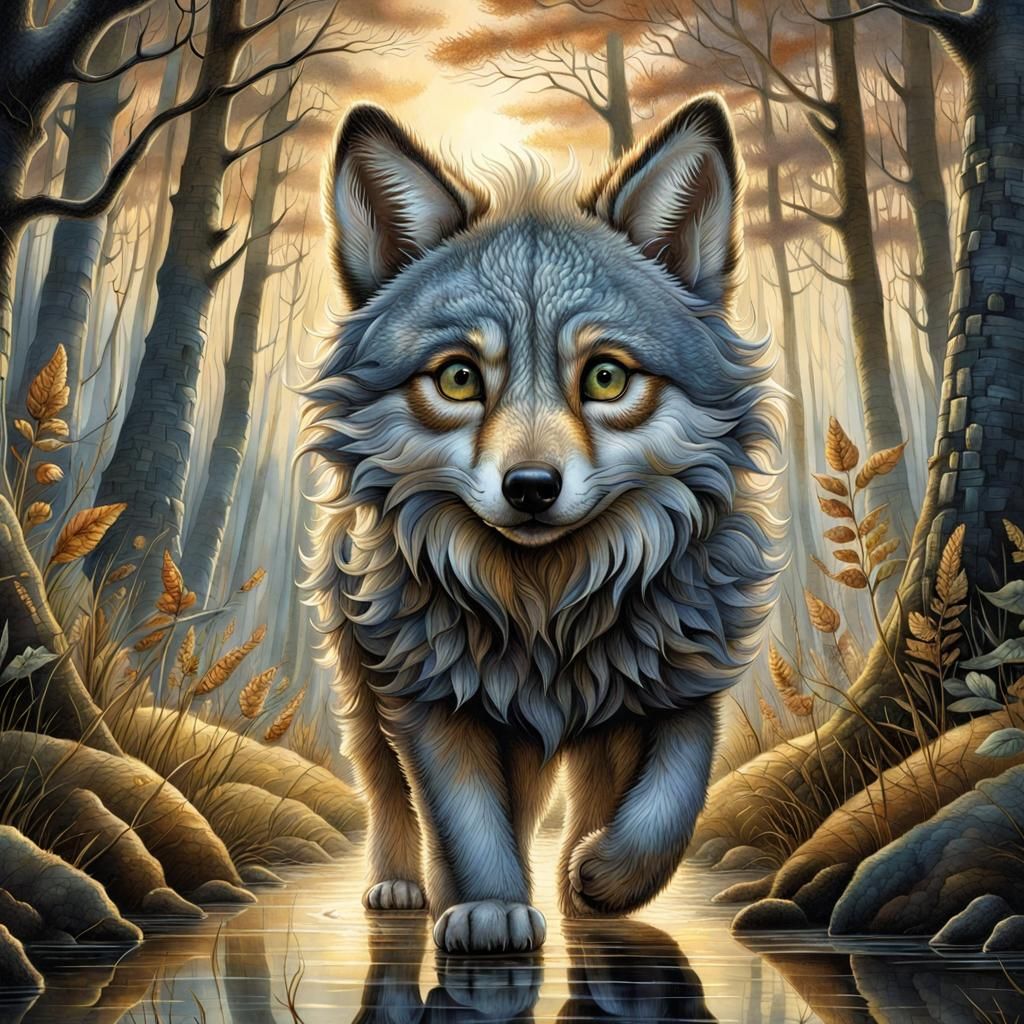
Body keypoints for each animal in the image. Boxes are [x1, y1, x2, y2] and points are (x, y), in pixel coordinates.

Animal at [302, 95, 782, 955]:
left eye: (606, 377)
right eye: (460, 379)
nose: (529, 487)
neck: (546, 609)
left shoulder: (684, 684)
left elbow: (671, 800)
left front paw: (600, 875)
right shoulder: (430, 700)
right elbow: (465, 820)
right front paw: (489, 907)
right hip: (365, 680)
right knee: (387, 789)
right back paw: (403, 885)